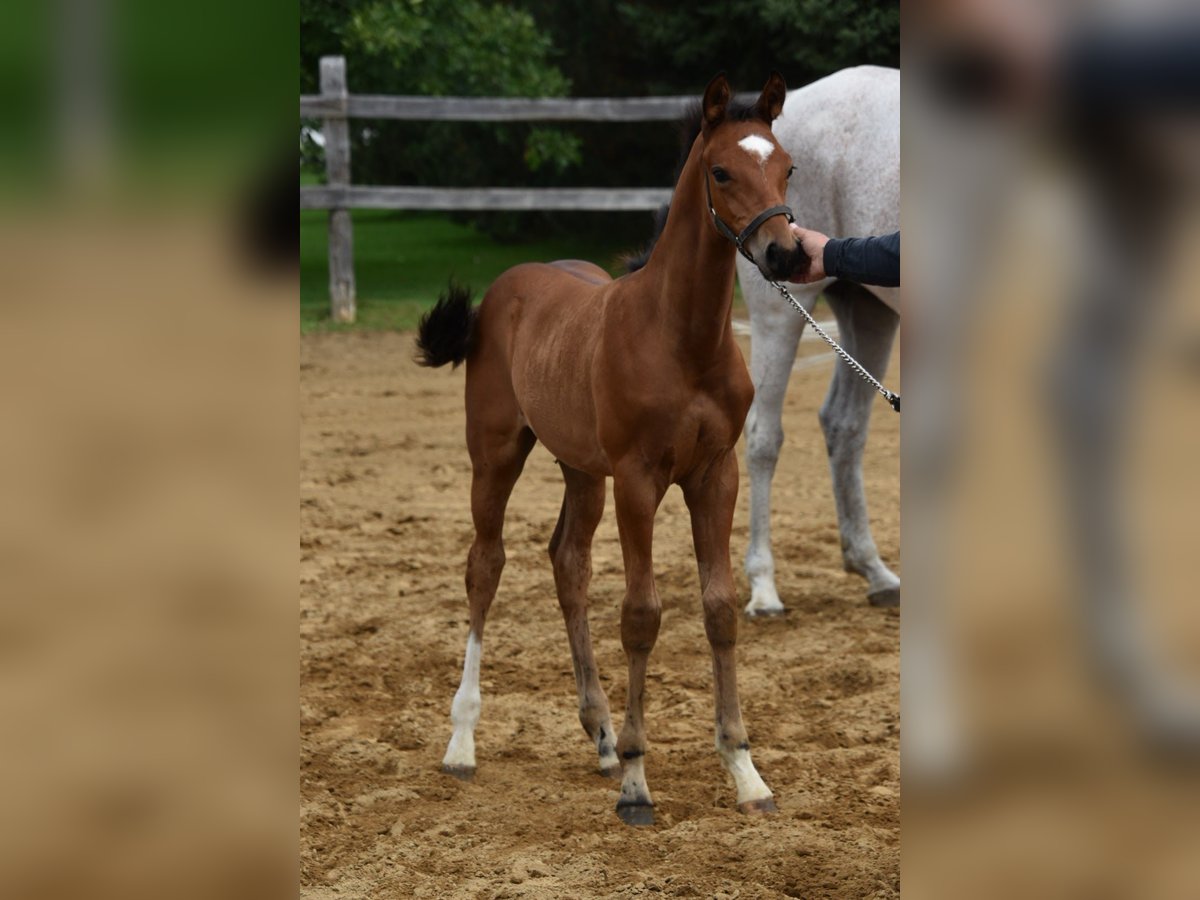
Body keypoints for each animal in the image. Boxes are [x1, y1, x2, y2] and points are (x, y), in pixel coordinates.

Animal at [417, 74, 801, 830]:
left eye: (788, 167)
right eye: (721, 172)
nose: (784, 253)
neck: (682, 338)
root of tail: (507, 287)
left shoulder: (715, 475)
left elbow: (718, 608)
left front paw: (745, 772)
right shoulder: (638, 479)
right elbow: (641, 615)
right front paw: (637, 783)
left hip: (581, 470)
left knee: (568, 563)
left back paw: (595, 734)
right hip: (497, 455)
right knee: (485, 565)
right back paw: (462, 740)